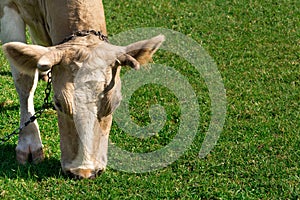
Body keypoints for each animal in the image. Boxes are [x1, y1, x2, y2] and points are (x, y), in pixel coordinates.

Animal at [0, 0, 164, 178]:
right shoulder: (8, 7)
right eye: (58, 104)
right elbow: (24, 80)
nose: (83, 172)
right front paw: (29, 142)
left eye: (115, 104)